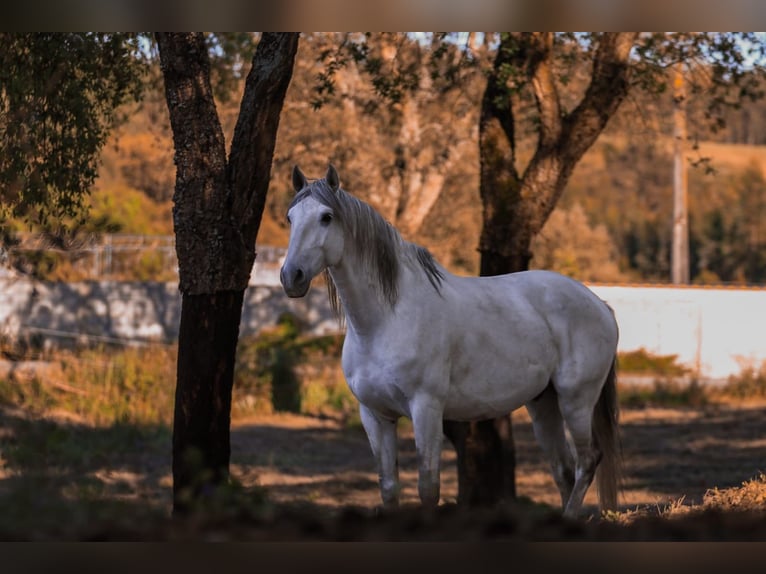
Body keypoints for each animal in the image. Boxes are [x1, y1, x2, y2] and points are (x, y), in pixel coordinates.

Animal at [282, 164, 624, 520]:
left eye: (326, 217)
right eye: (290, 218)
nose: (291, 277)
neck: (384, 321)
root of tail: (600, 304)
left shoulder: (426, 408)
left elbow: (428, 488)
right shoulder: (375, 415)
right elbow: (388, 488)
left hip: (576, 401)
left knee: (587, 462)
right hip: (544, 404)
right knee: (564, 470)